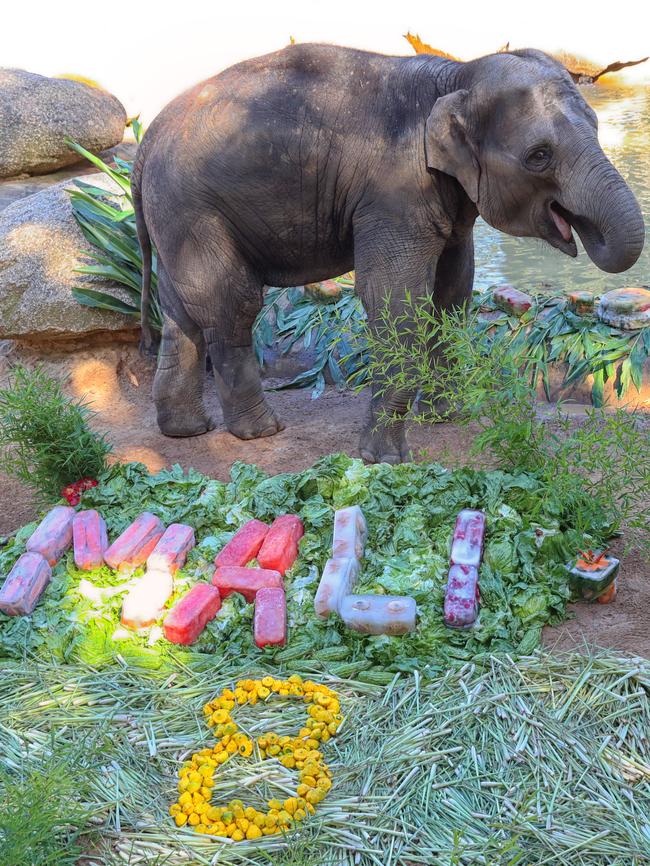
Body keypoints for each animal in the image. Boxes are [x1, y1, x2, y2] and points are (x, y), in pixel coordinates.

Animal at [132, 44, 644, 462]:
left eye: (598, 126)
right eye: (539, 156)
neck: (457, 75)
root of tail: (145, 142)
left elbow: (452, 294)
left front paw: (447, 417)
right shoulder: (395, 191)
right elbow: (395, 298)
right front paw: (385, 459)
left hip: (174, 217)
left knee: (180, 314)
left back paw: (187, 430)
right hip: (195, 210)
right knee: (231, 307)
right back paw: (260, 432)